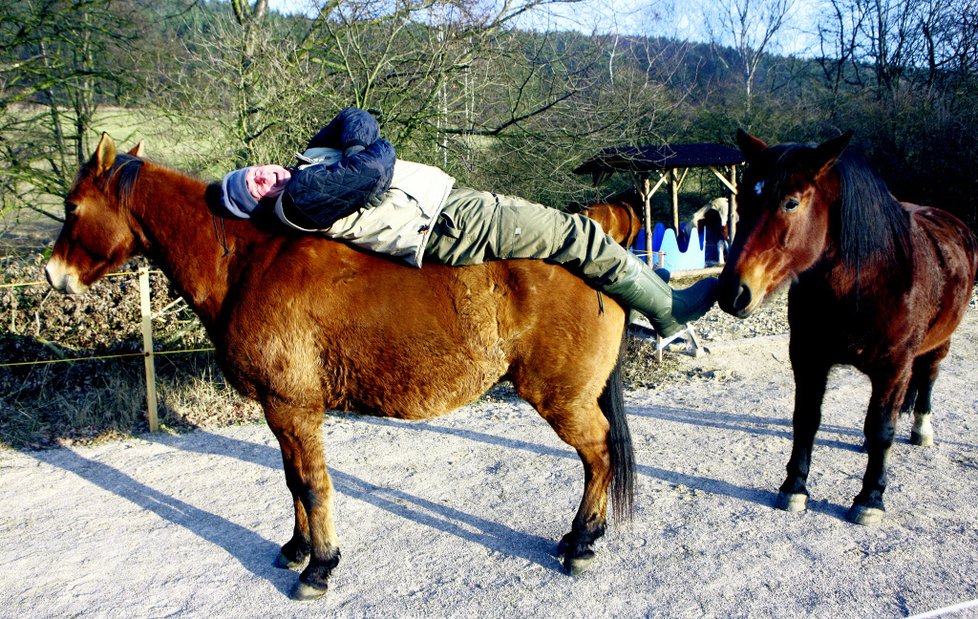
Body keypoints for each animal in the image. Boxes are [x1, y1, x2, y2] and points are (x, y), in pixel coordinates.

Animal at [45, 134, 636, 600]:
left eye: (72, 208)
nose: (54, 276)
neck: (247, 264)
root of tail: (603, 264)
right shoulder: (281, 411)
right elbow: (292, 481)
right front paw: (296, 548)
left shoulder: (293, 408)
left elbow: (312, 485)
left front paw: (319, 567)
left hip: (562, 399)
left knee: (598, 455)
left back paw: (582, 542)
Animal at [716, 128, 976, 524]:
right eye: (743, 200)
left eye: (791, 203)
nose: (732, 292)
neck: (867, 282)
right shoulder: (808, 359)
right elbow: (806, 420)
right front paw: (794, 487)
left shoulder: (893, 368)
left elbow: (882, 428)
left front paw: (870, 498)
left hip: (938, 343)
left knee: (928, 376)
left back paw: (921, 428)